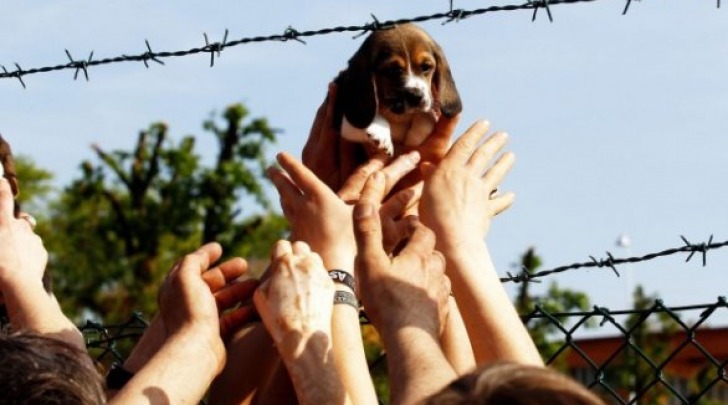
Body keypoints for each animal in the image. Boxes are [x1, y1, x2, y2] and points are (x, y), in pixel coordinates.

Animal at [334, 24, 460, 155]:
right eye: (393, 71)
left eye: (426, 67)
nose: (416, 96)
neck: (399, 115)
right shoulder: (341, 121)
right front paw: (380, 130)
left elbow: (427, 117)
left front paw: (415, 137)